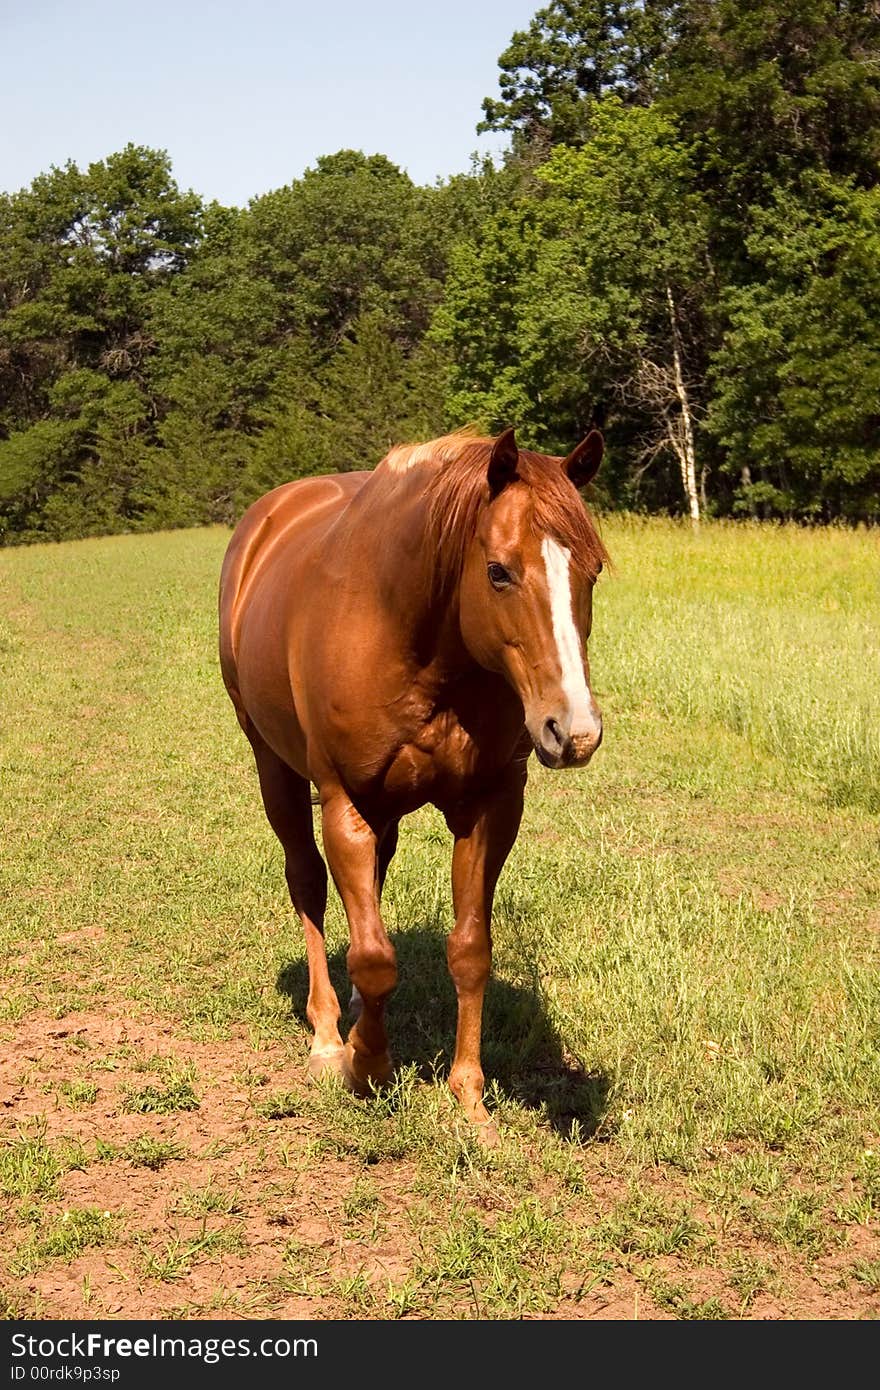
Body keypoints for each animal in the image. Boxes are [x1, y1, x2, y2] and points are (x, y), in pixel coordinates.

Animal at [216, 425, 606, 1139]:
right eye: (499, 571)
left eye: (591, 570)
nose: (574, 731)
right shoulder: (343, 802)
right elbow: (375, 958)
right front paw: (365, 1066)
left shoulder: (490, 804)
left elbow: (469, 950)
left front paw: (469, 1096)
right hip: (274, 767)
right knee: (307, 883)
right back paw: (327, 1033)